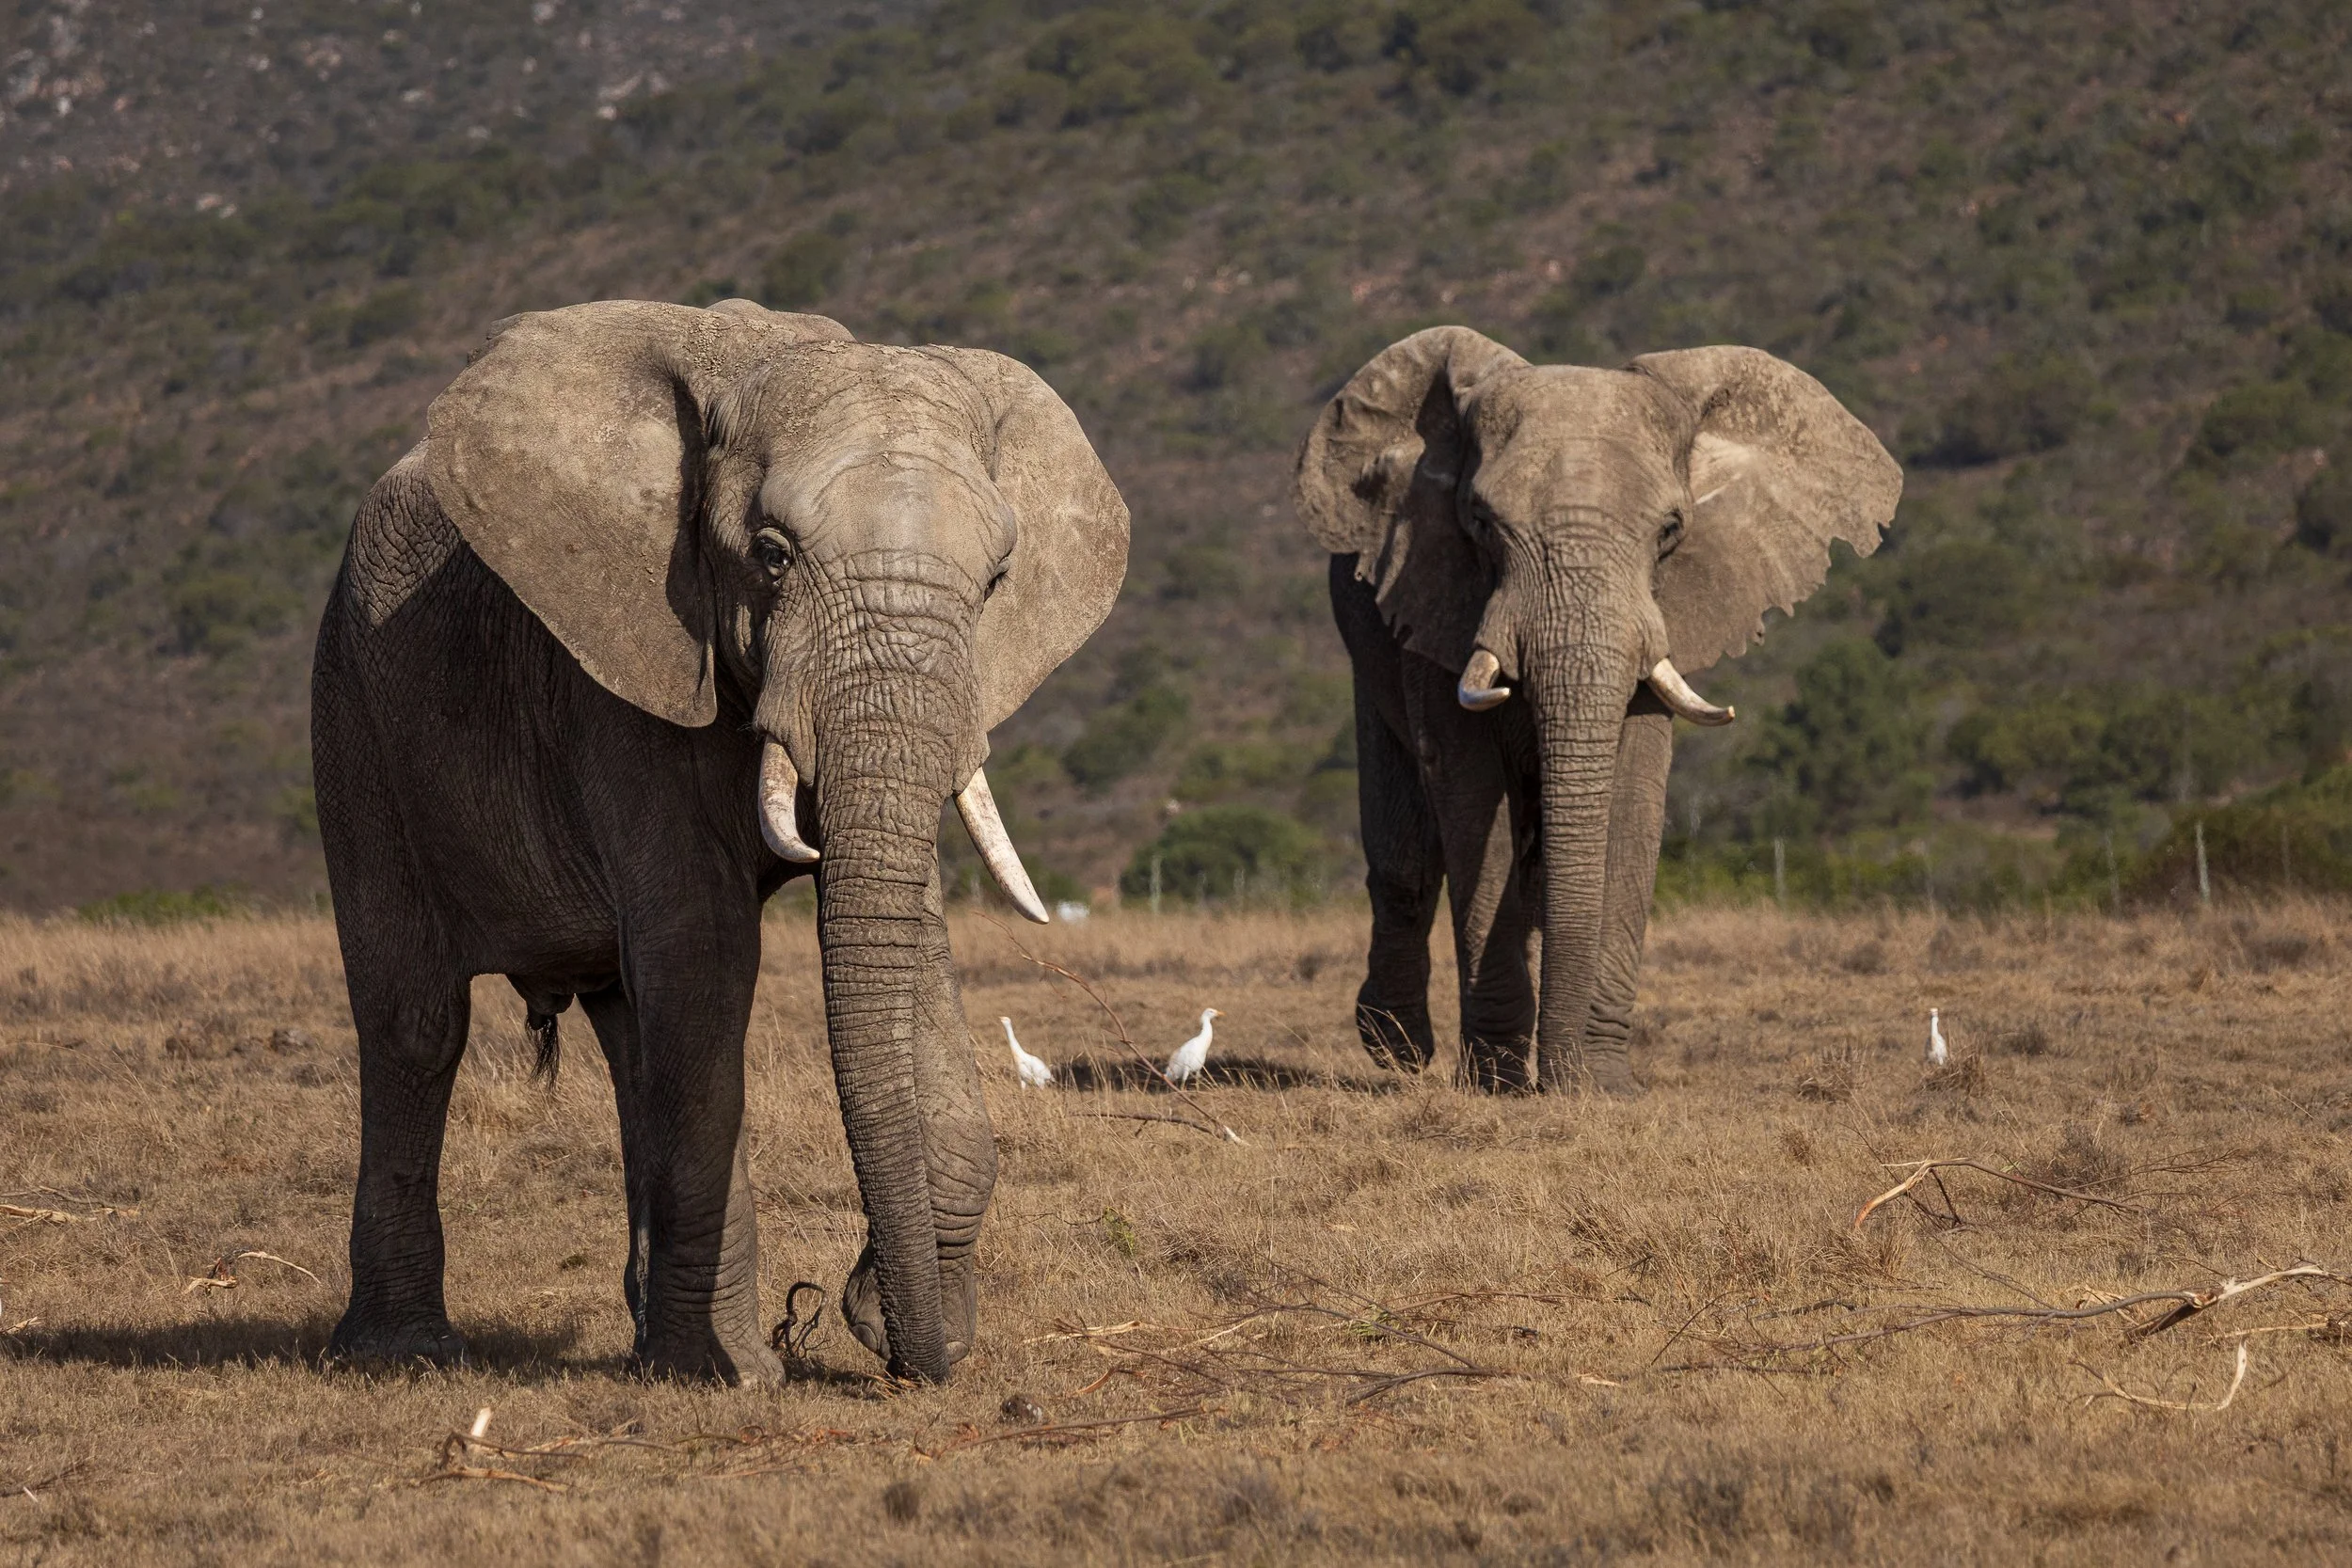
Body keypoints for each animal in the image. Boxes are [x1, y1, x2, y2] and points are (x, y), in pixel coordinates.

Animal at [313, 297, 1127, 1383]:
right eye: (772, 553)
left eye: (998, 578)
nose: (898, 1344)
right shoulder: (628, 658)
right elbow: (707, 952)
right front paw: (729, 1371)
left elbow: (904, 931)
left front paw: (892, 1321)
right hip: (350, 708)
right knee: (416, 1020)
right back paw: (403, 1351)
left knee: (627, 1024)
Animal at [1294, 327, 1900, 1094]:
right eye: (1481, 524)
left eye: (1671, 528)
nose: (1561, 1080)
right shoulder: (1433, 589)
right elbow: (1468, 793)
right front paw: (1497, 1082)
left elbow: (1634, 789)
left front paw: (1603, 1084)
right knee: (1405, 847)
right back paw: (1396, 1048)